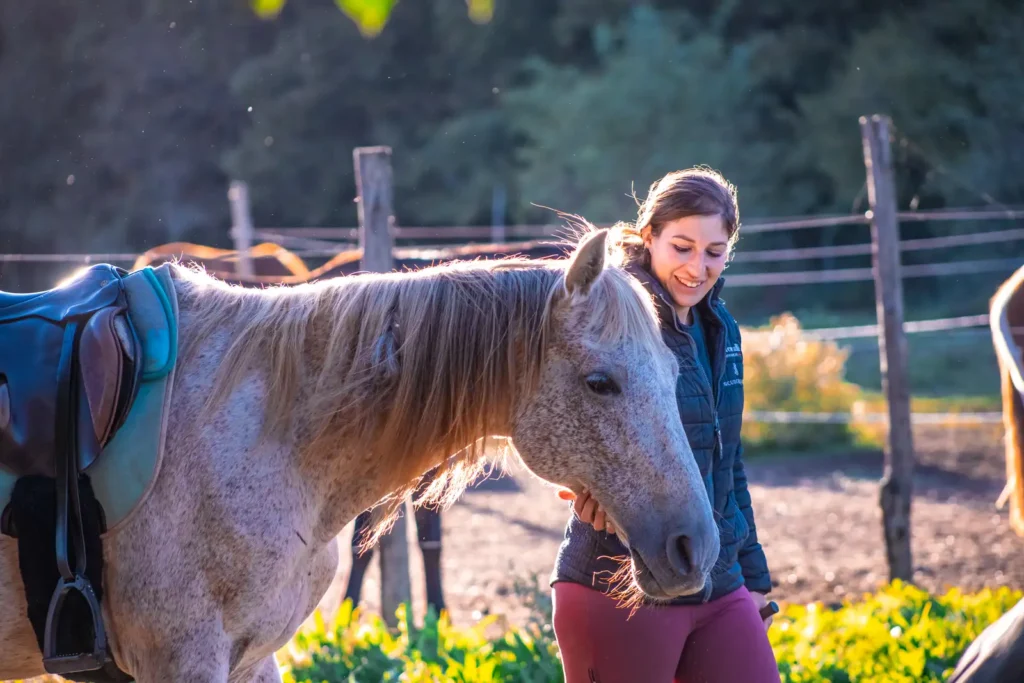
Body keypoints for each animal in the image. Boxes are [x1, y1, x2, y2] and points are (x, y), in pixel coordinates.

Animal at [0, 228, 720, 682]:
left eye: (672, 371)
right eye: (601, 382)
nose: (696, 546)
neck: (255, 427)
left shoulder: (251, 657)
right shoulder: (181, 658)